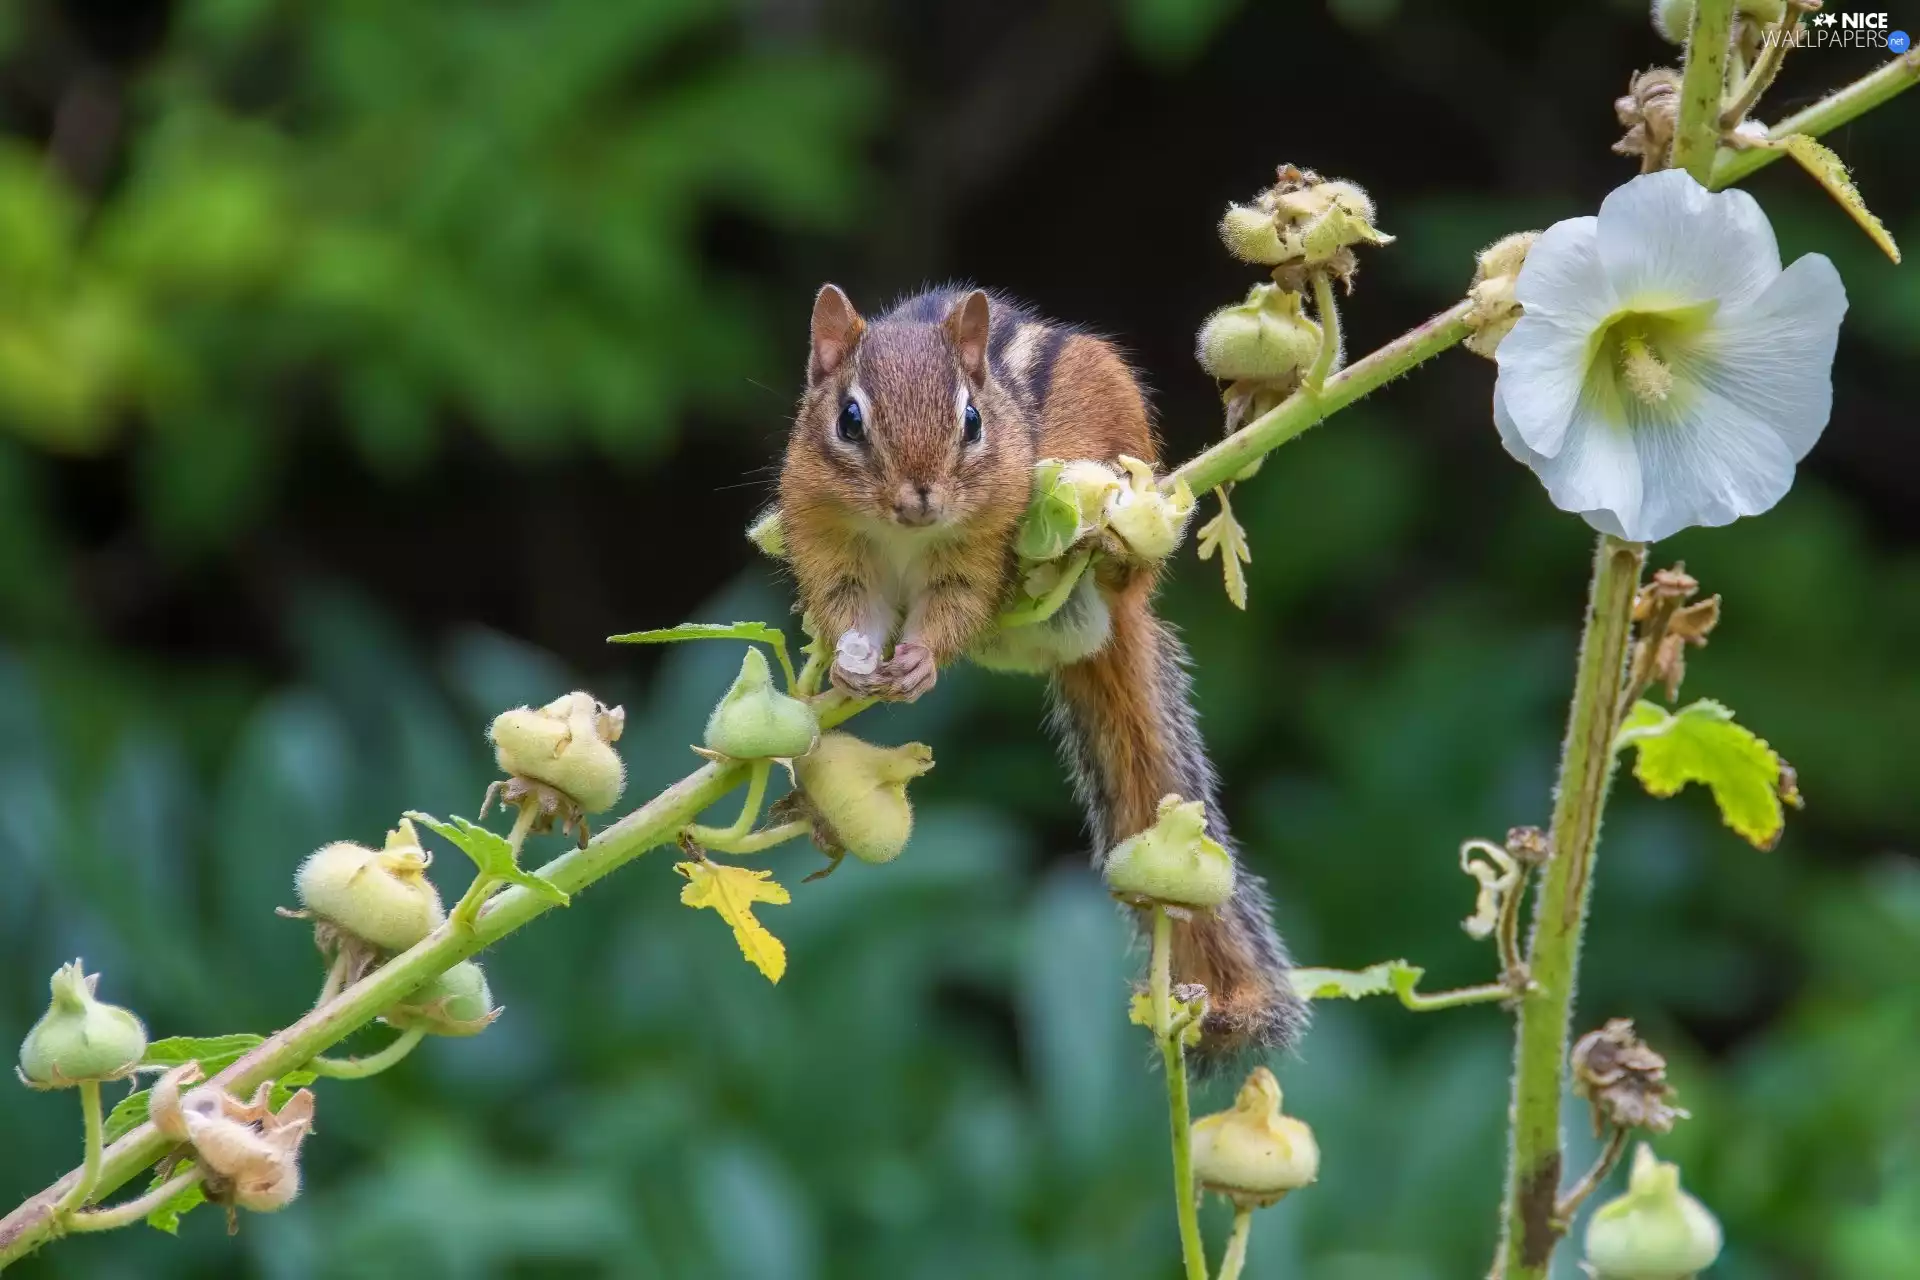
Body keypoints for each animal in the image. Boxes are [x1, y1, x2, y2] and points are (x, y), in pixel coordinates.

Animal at [779, 283, 1304, 1058]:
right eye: (848, 420)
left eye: (971, 420)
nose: (919, 498)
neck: (902, 535)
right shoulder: (830, 544)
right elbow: (850, 612)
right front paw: (849, 667)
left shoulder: (978, 550)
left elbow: (957, 605)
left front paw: (920, 661)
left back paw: (1103, 550)